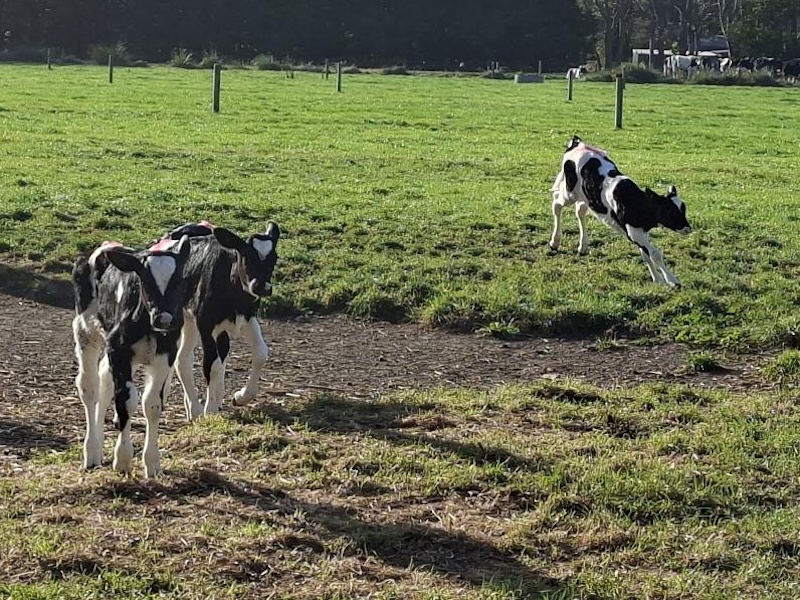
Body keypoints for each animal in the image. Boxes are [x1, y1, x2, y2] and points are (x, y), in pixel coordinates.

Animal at [72, 236, 191, 477]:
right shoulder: (119, 350)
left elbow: (152, 404)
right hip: (85, 331)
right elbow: (125, 401)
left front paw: (152, 463)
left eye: (180, 280)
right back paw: (92, 452)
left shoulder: (166, 354)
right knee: (90, 388)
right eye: (144, 280)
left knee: (104, 380)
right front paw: (123, 460)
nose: (165, 318)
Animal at [150, 222, 281, 421]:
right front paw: (210, 410)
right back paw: (194, 408)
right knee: (181, 358)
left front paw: (241, 397)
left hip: (192, 322)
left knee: (189, 356)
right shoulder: (206, 323)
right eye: (246, 256)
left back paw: (198, 405)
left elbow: (260, 353)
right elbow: (212, 365)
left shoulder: (247, 317)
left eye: (273, 259)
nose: (261, 287)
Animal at [549, 136, 692, 287]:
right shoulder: (634, 232)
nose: (688, 229)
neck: (636, 203)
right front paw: (672, 281)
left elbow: (646, 255)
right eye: (671, 212)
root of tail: (578, 143)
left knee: (580, 211)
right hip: (569, 192)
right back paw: (554, 242)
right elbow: (654, 254)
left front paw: (657, 279)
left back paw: (582, 246)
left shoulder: (638, 232)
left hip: (586, 197)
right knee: (557, 204)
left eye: (683, 209)